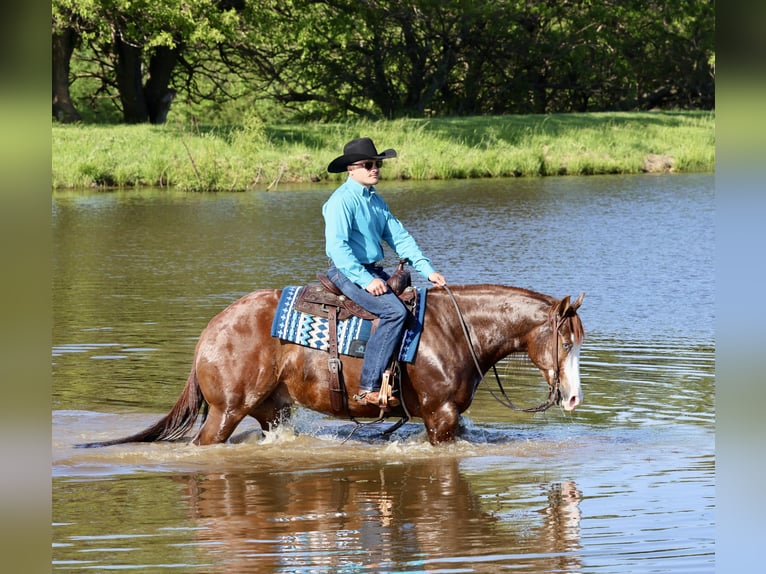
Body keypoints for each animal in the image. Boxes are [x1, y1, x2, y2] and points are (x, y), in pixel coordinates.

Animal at [80, 285, 585, 447]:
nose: (574, 397)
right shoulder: (439, 416)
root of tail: (211, 330)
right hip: (225, 411)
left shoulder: (448, 418)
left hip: (272, 408)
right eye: (565, 340)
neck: (453, 330)